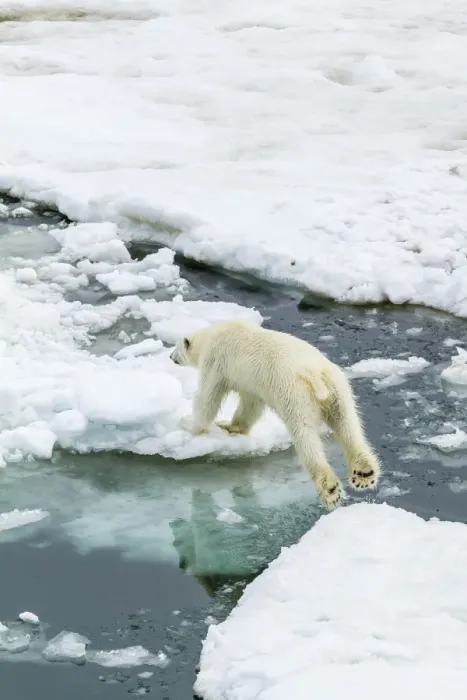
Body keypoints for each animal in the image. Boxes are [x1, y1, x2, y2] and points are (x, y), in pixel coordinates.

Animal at [170, 320, 380, 509]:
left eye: (176, 346)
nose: (171, 357)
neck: (212, 334)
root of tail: (314, 375)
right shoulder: (252, 383)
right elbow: (250, 405)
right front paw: (230, 426)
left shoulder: (216, 361)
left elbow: (208, 398)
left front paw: (189, 423)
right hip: (338, 389)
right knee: (348, 425)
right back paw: (365, 473)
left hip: (293, 393)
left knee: (304, 435)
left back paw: (329, 489)